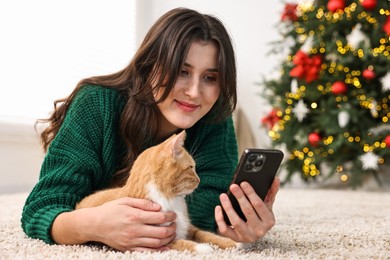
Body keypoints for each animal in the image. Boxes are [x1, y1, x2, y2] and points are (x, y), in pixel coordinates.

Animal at [76, 131, 239, 253]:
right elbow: (183, 243)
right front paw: (204, 248)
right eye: (191, 167)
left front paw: (233, 243)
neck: (172, 199)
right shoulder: (156, 240)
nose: (199, 180)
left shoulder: (189, 228)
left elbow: (206, 234)